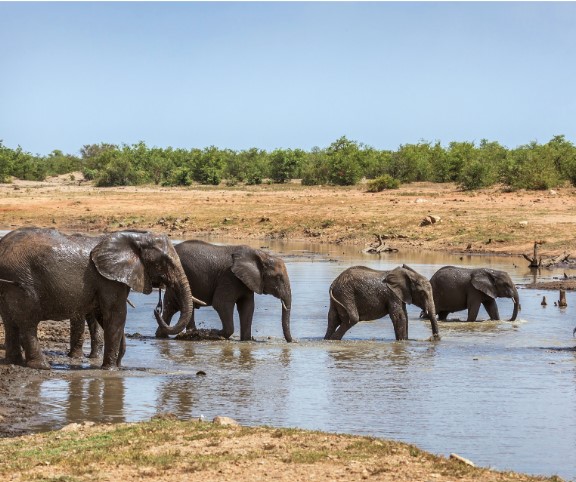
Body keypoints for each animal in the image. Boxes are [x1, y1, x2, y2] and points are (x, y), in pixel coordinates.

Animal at [0, 226, 202, 370]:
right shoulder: (108, 280)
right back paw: (42, 367)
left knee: (10, 321)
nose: (156, 309)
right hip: (22, 279)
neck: (135, 237)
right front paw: (111, 370)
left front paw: (118, 365)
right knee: (28, 321)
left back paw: (14, 362)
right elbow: (116, 314)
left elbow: (104, 316)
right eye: (165, 262)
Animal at [154, 241, 292, 342]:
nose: (291, 341)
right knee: (176, 307)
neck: (261, 255)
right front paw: (212, 333)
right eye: (278, 277)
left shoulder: (245, 282)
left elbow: (247, 307)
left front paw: (246, 340)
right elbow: (221, 304)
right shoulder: (229, 277)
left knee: (177, 307)